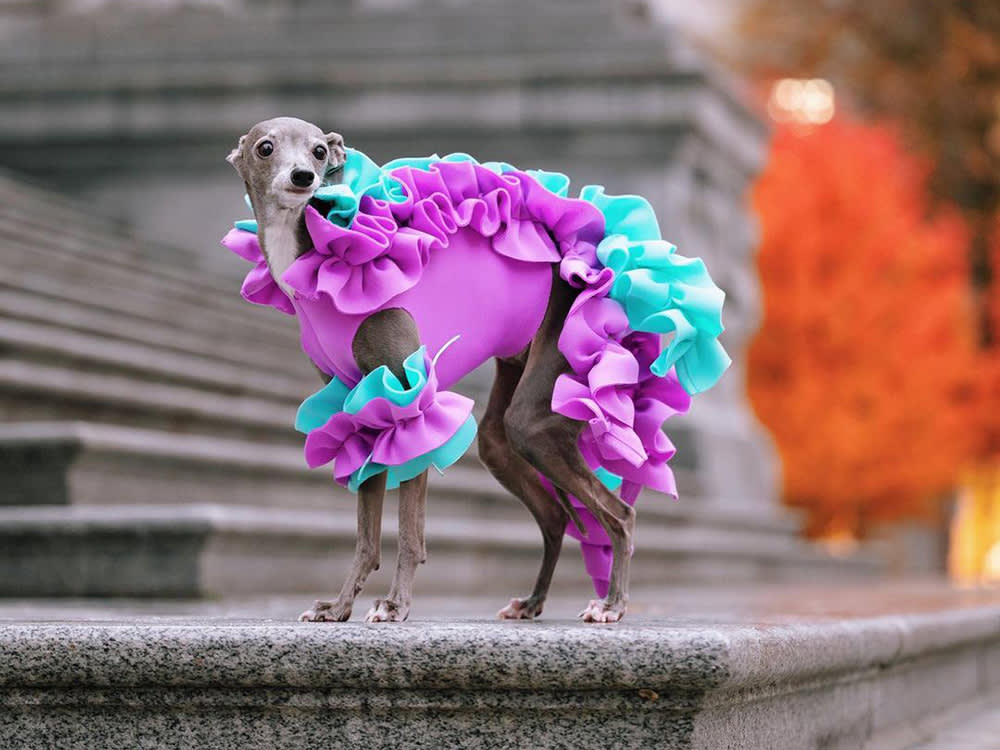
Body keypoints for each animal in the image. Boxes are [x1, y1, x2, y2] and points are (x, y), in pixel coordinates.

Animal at [226, 117, 696, 624]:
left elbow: (409, 532)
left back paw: (612, 604)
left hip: (536, 411)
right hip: (501, 433)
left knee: (619, 515)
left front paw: (395, 605)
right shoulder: (361, 409)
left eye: (317, 151)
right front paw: (338, 607)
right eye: (265, 148)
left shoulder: (411, 401)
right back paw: (533, 602)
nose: (303, 178)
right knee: (554, 516)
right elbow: (366, 537)